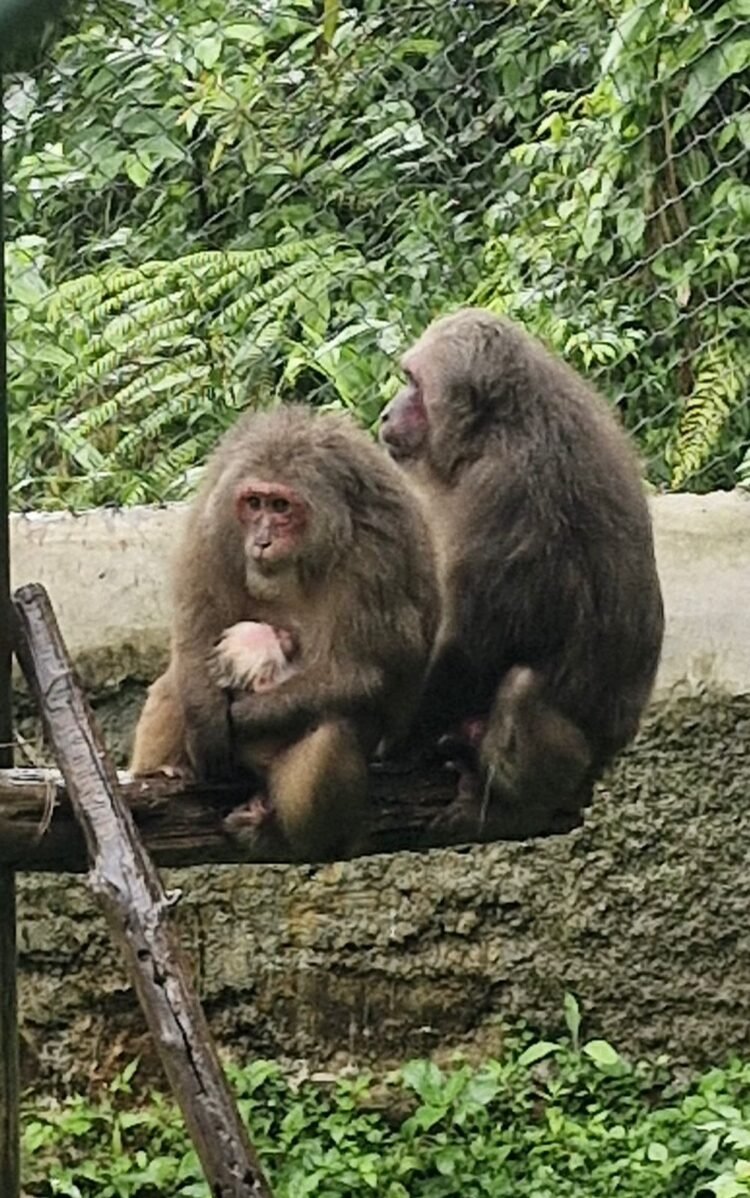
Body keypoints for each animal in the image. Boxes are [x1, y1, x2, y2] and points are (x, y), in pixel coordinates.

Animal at [130, 404, 439, 860]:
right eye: (254, 503)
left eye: (281, 506)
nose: (261, 539)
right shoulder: (215, 525)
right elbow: (195, 635)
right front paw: (207, 721)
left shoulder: (375, 558)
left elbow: (360, 673)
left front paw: (239, 715)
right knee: (178, 680)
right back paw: (163, 770)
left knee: (333, 727)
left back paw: (284, 835)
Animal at [379, 307, 664, 837]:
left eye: (414, 385)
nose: (388, 412)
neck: (497, 426)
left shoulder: (500, 489)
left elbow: (472, 645)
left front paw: (397, 738)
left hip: (579, 759)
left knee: (521, 690)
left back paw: (513, 806)